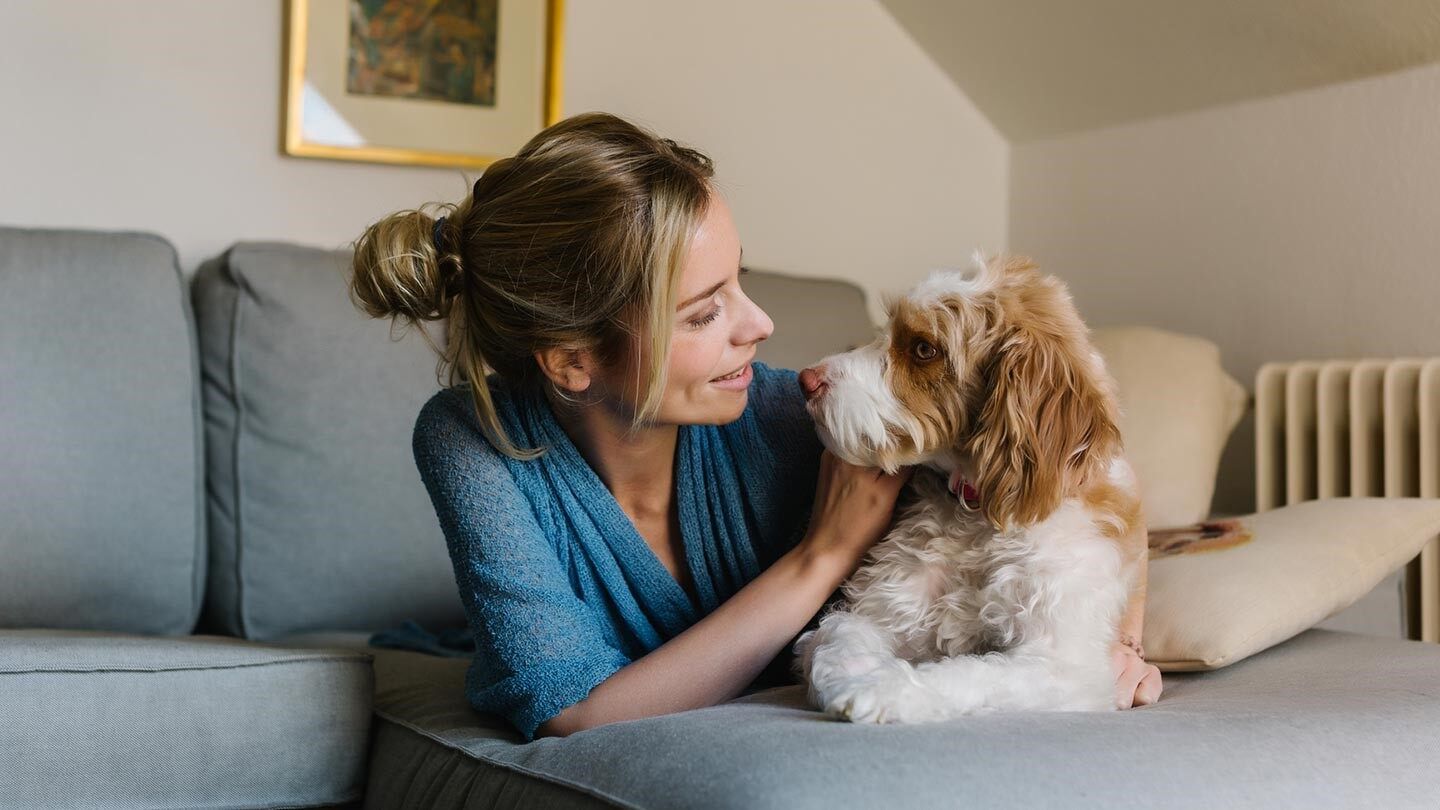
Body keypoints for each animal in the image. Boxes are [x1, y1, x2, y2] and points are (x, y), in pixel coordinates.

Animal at [789, 250, 1146, 717]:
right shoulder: (874, 610)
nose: (805, 380)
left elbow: (971, 673)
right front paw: (851, 679)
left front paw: (886, 690)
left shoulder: (1064, 665)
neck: (977, 514)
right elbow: (835, 643)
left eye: (924, 349)